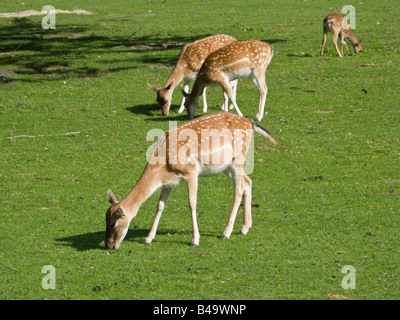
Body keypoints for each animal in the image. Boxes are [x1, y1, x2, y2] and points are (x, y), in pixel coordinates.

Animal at [104, 112, 276, 250]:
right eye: (104, 220)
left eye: (112, 224)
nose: (109, 245)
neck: (163, 164)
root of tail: (250, 122)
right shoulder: (168, 182)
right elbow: (160, 205)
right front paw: (148, 238)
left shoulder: (191, 171)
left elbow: (192, 203)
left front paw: (195, 240)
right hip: (226, 166)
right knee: (247, 181)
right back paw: (245, 227)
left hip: (238, 158)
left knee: (238, 189)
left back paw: (226, 232)